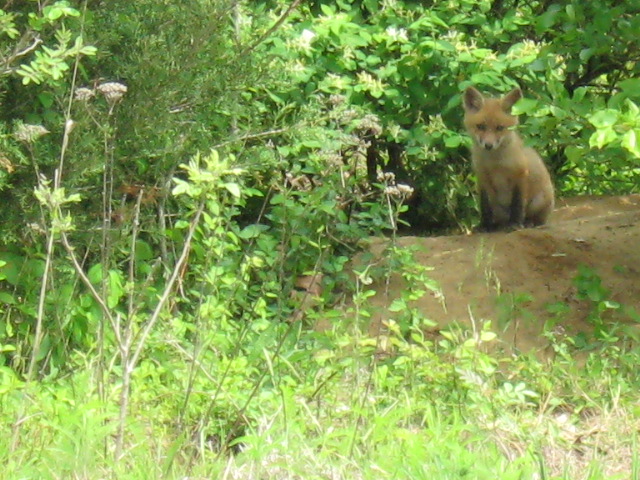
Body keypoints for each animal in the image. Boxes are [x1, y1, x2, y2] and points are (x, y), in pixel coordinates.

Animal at [462, 86, 554, 231]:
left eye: (500, 128)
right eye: (480, 126)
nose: (488, 145)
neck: (495, 163)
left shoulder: (520, 175)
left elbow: (518, 204)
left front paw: (515, 224)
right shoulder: (482, 177)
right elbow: (485, 206)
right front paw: (485, 225)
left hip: (539, 201)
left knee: (537, 219)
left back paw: (528, 222)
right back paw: (497, 225)